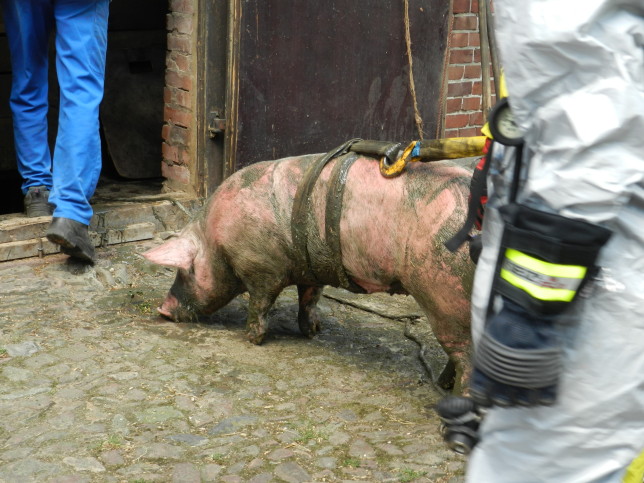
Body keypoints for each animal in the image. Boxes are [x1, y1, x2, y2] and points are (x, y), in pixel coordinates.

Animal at [145, 150, 472, 394]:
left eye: (184, 271)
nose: (162, 310)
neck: (217, 239)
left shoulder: (260, 267)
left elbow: (260, 303)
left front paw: (252, 339)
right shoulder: (312, 268)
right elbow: (309, 299)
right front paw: (314, 331)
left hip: (446, 295)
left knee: (466, 357)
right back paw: (441, 385)